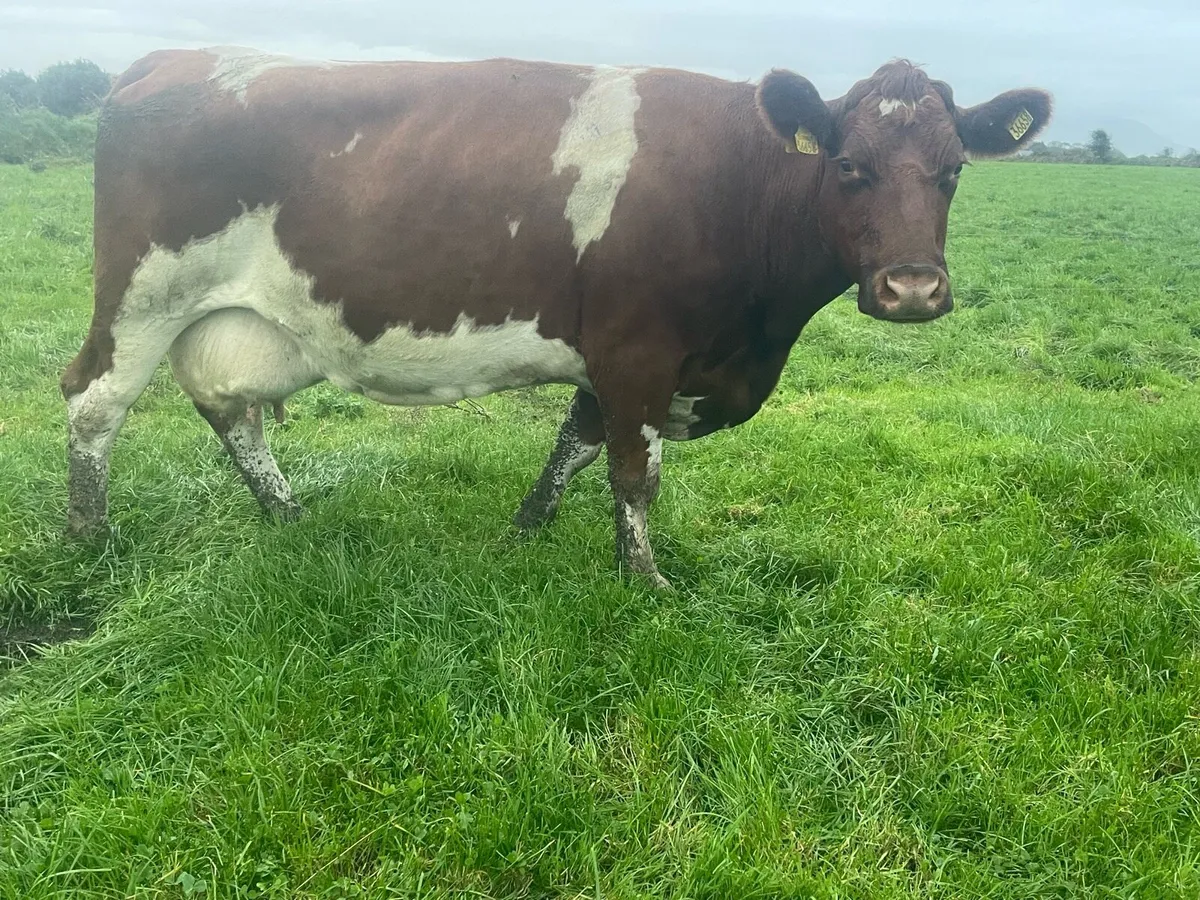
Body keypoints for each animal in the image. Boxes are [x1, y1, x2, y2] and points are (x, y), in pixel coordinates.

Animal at [61, 47, 1051, 588]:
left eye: (955, 169)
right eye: (848, 167)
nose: (913, 289)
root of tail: (173, 60)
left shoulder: (621, 356)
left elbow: (577, 446)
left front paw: (527, 533)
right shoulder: (639, 347)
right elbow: (632, 472)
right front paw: (647, 582)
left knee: (229, 408)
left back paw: (288, 515)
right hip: (141, 295)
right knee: (92, 402)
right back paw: (86, 538)